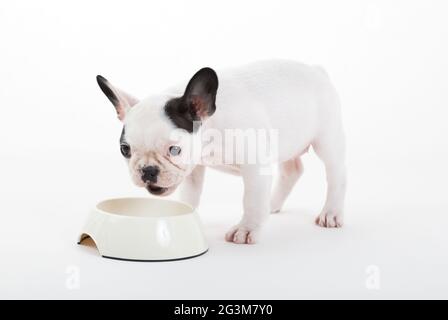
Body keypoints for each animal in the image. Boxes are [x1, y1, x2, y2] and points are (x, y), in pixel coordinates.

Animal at [95, 60, 346, 244]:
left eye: (175, 149)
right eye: (125, 149)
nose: (147, 171)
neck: (211, 125)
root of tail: (317, 71)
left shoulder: (255, 167)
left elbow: (251, 200)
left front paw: (246, 229)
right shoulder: (194, 168)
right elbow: (191, 195)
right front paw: (187, 213)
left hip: (326, 140)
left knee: (336, 175)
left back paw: (331, 212)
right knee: (292, 170)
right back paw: (272, 204)